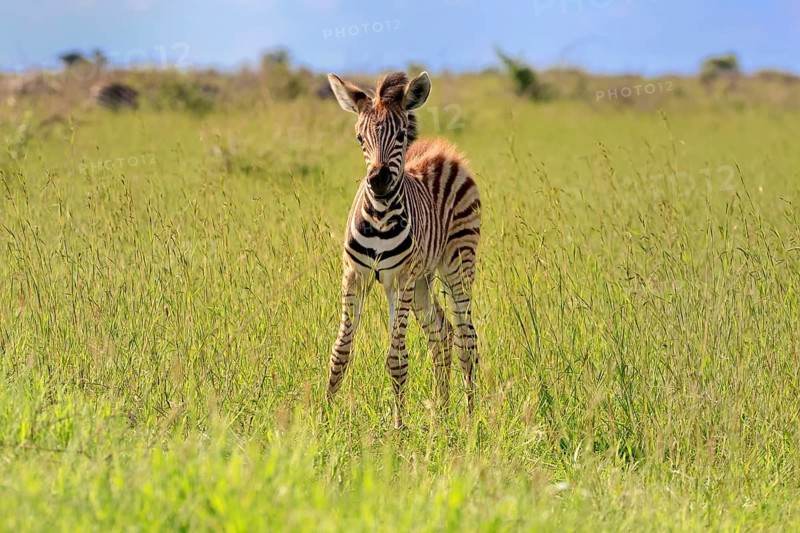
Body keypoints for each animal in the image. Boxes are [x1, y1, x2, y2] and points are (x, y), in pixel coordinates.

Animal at [326, 71, 481, 428]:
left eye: (399, 135)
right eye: (359, 138)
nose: (379, 180)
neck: (380, 217)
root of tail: (441, 148)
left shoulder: (400, 279)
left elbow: (396, 358)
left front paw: (399, 427)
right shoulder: (354, 275)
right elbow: (340, 350)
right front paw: (323, 417)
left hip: (457, 264)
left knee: (466, 338)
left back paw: (469, 418)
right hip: (423, 280)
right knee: (441, 332)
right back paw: (443, 411)